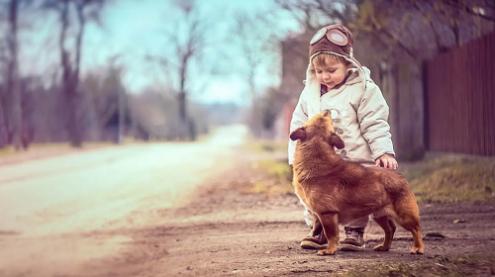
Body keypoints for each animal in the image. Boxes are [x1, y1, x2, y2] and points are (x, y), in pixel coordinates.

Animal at [290, 110, 426, 254]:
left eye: (324, 116)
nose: (327, 110)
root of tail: (400, 177)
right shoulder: (320, 214)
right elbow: (318, 226)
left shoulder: (327, 214)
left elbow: (331, 234)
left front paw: (329, 250)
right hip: (380, 215)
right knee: (390, 229)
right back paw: (384, 247)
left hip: (404, 216)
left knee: (416, 230)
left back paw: (418, 248)